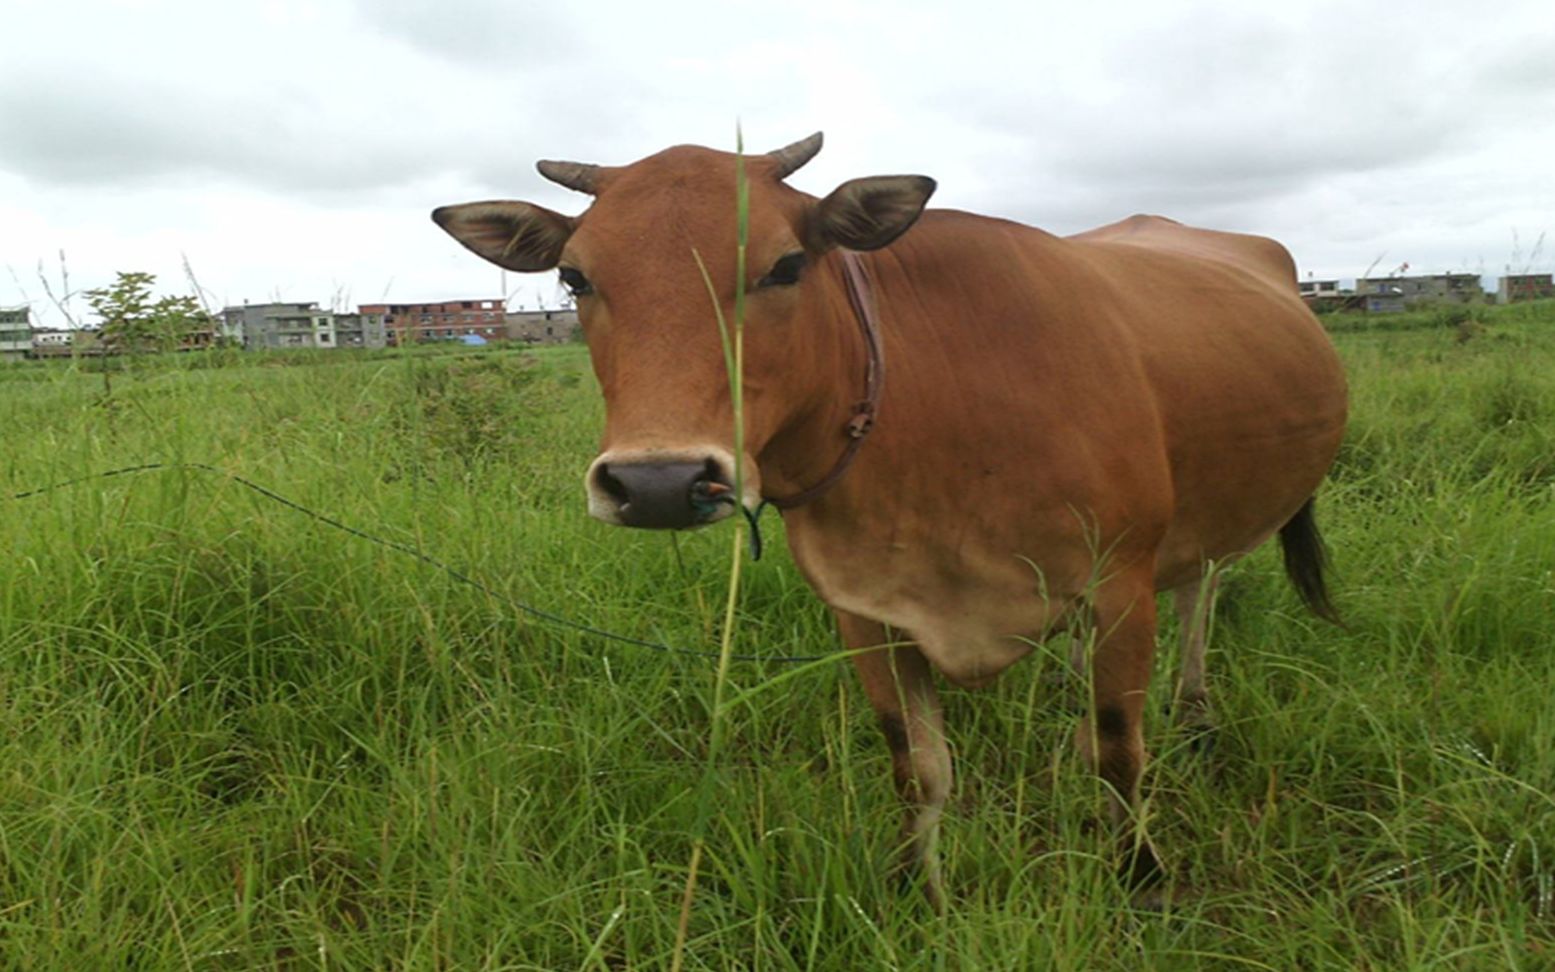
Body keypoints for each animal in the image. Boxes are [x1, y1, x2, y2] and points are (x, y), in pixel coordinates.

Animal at [435, 132, 1349, 908]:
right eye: (575, 279)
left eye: (786, 264)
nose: (658, 482)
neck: (938, 411)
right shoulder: (865, 613)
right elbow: (918, 767)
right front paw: (919, 889)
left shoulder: (1120, 583)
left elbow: (1118, 749)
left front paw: (1141, 873)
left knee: (1201, 591)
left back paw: (1193, 711)